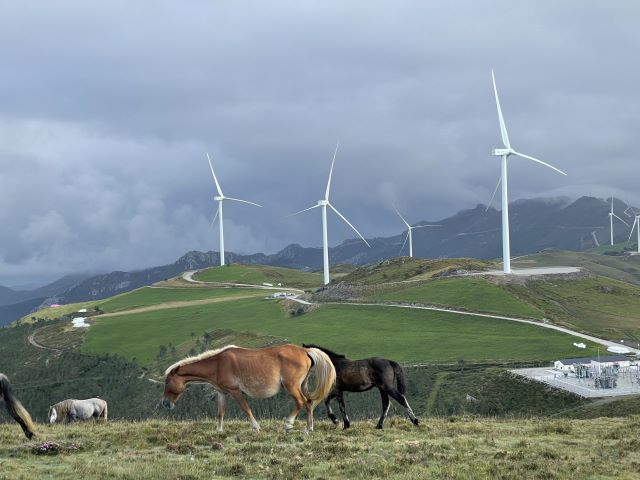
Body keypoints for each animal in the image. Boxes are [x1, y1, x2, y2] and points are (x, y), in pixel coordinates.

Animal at [162, 344, 338, 434]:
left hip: (292, 385)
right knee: (309, 402)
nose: (165, 403)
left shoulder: (235, 392)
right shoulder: (222, 392)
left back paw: (289, 424)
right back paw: (309, 428)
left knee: (301, 402)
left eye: (167, 382)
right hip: (302, 385)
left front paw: (256, 427)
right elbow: (220, 412)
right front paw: (219, 430)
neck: (218, 364)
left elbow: (246, 409)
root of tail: (305, 351)